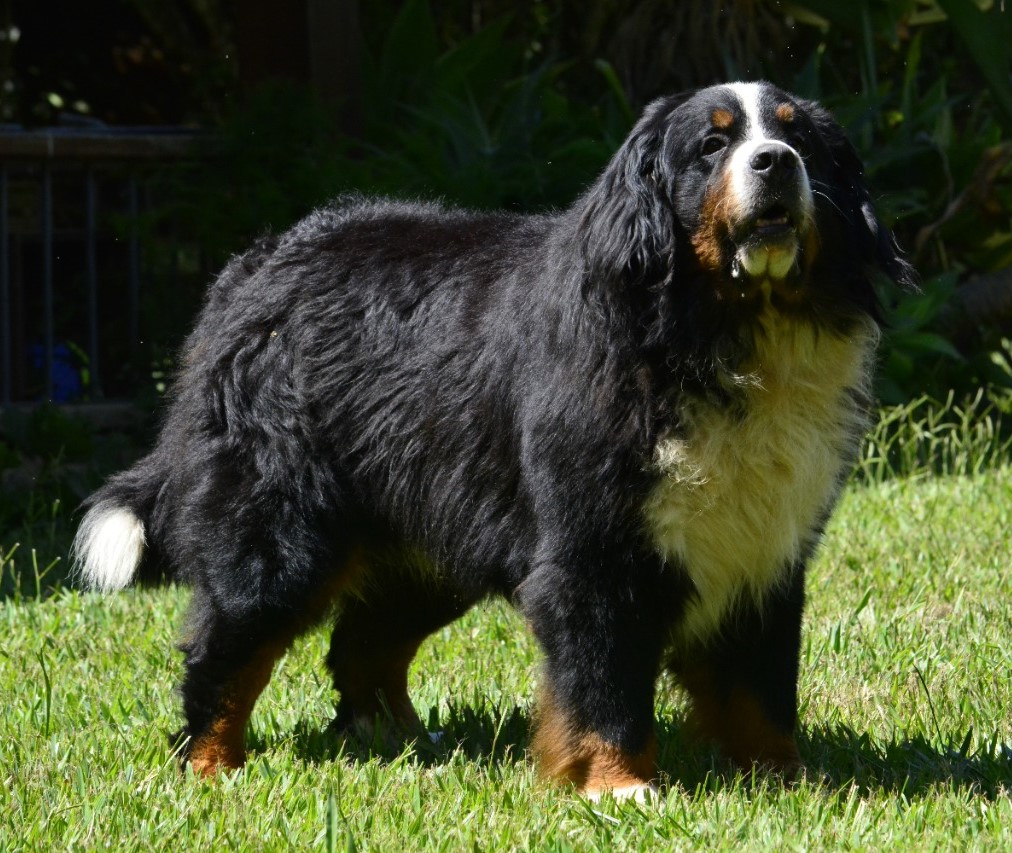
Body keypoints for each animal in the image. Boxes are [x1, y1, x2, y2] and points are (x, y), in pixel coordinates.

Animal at [74, 81, 915, 800]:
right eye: (713, 146)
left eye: (797, 135)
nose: (775, 162)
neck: (722, 331)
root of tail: (257, 265)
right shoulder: (594, 549)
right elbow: (603, 680)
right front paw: (619, 785)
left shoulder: (762, 544)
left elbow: (761, 682)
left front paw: (785, 776)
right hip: (280, 531)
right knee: (227, 649)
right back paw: (211, 765)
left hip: (430, 543)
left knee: (362, 646)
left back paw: (404, 743)